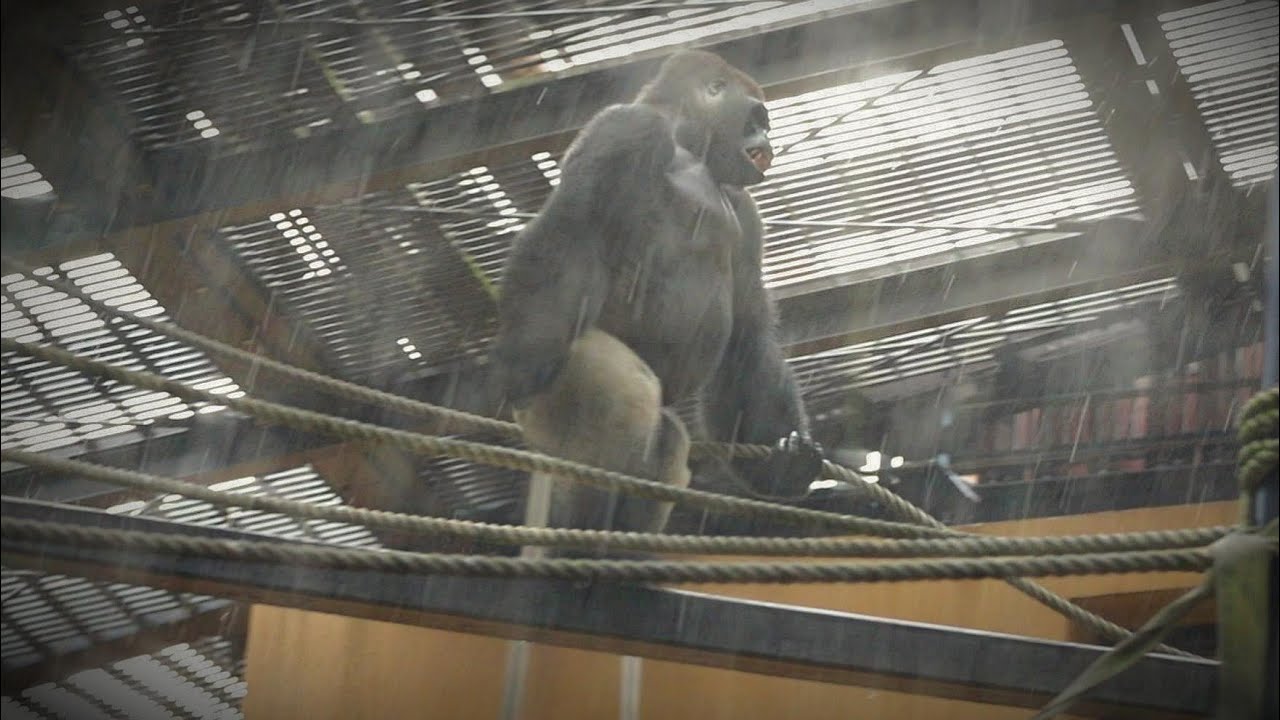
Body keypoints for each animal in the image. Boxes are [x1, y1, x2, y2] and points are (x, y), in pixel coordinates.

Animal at [490, 50, 823, 540]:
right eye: (755, 119)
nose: (767, 139)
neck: (690, 146)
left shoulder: (745, 210)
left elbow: (747, 332)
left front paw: (782, 464)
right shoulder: (626, 127)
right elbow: (573, 226)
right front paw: (522, 361)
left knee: (666, 440)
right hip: (551, 406)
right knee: (625, 398)